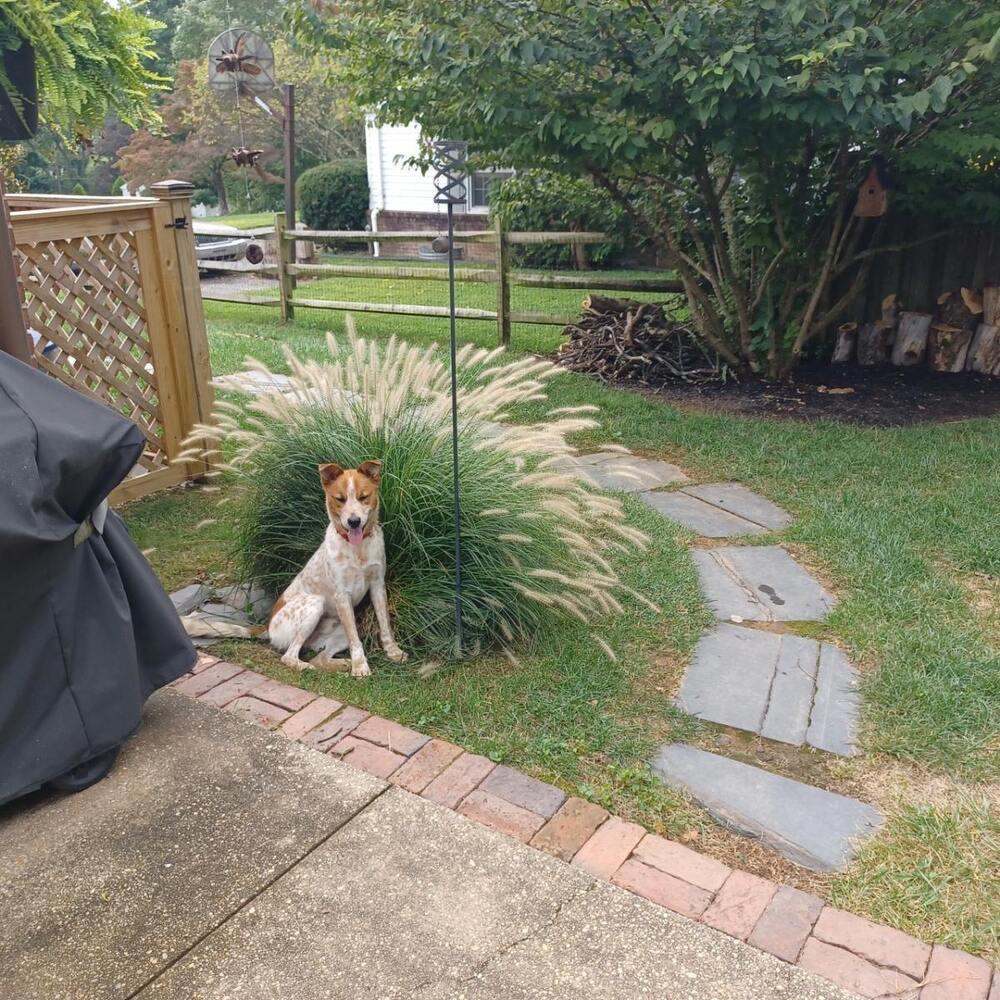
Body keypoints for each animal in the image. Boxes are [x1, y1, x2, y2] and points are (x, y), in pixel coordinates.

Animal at [268, 462, 408, 680]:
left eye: (363, 496)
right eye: (340, 499)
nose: (354, 521)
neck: (358, 550)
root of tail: (267, 628)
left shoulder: (378, 585)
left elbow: (385, 625)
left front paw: (393, 651)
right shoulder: (342, 595)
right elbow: (356, 643)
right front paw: (360, 667)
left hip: (339, 631)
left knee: (320, 657)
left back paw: (342, 664)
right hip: (315, 605)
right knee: (289, 656)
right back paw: (307, 666)